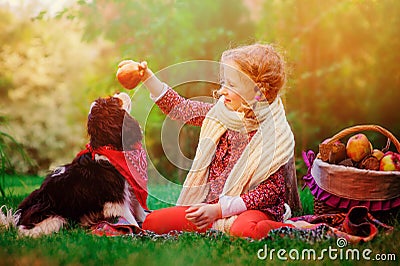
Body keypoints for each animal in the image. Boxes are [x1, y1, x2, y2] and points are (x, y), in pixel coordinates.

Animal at [15, 93, 148, 237]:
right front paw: (139, 233)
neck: (109, 147)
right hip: (55, 219)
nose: (119, 92)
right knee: (28, 232)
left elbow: (140, 212)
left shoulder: (132, 191)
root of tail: (18, 218)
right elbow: (130, 220)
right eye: (114, 100)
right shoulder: (117, 200)